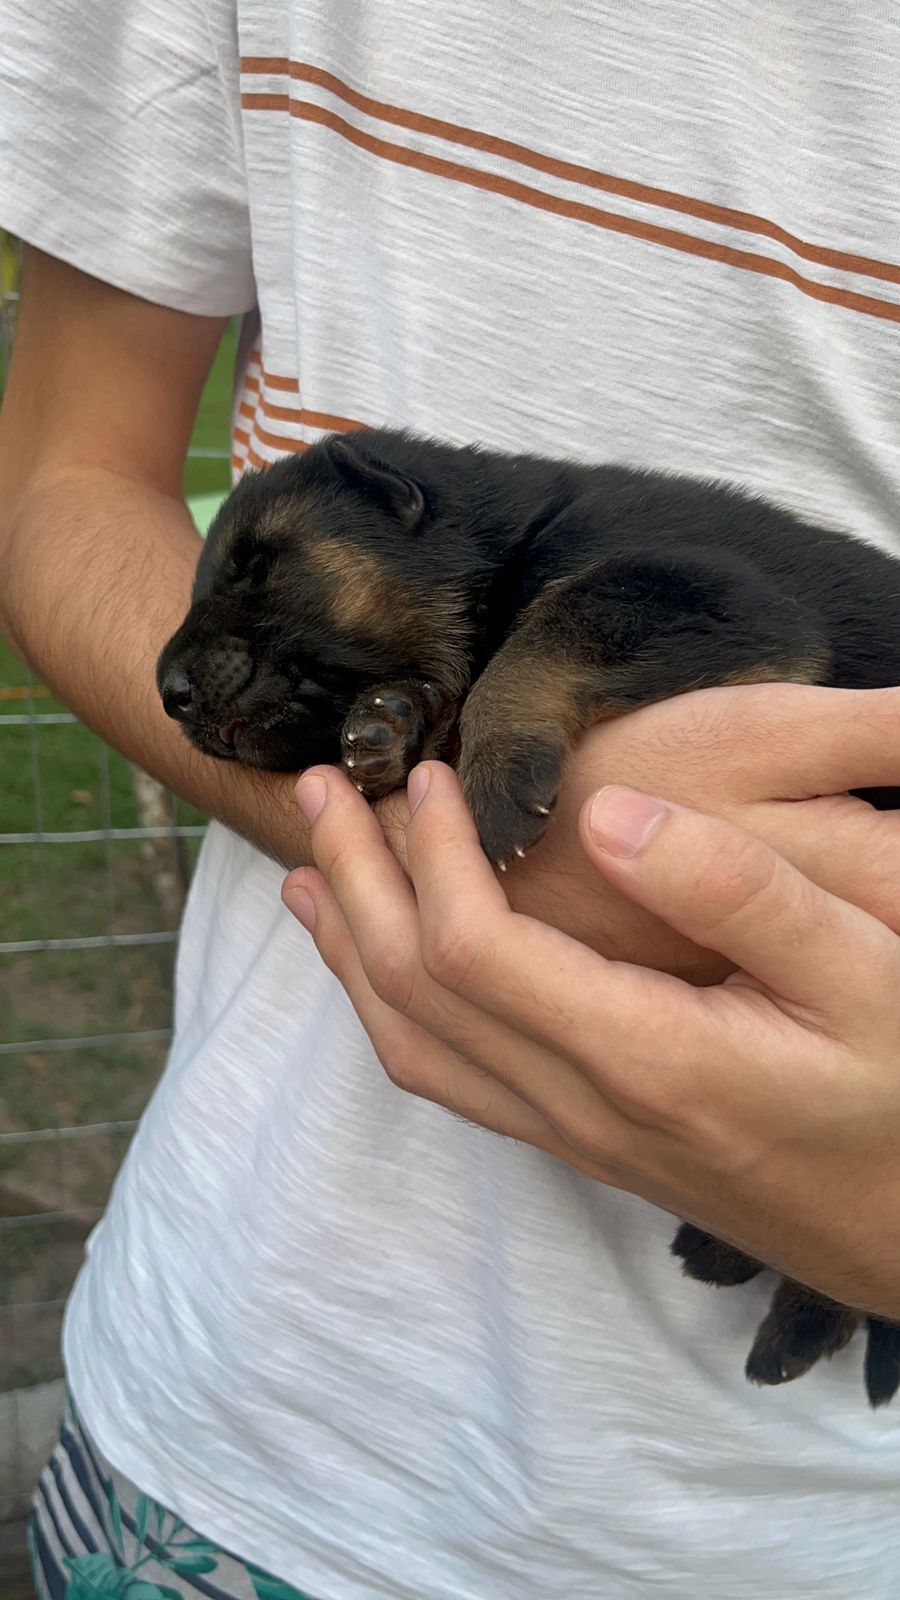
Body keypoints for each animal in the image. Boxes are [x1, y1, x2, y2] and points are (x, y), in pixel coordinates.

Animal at [157, 432, 896, 1408]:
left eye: (257, 566)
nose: (165, 690)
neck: (507, 544)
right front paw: (393, 724)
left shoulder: (707, 593)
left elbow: (558, 621)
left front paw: (497, 763)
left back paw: (798, 1317)